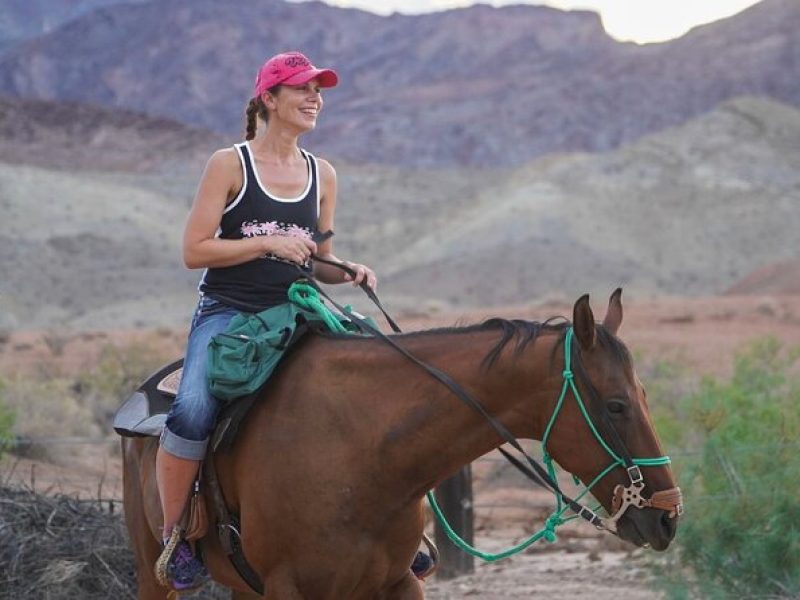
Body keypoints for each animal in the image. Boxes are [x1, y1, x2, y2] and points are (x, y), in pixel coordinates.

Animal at [125, 290, 680, 596]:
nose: (668, 516)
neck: (364, 451)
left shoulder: (398, 582)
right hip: (153, 572)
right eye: (616, 405)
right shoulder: (290, 588)